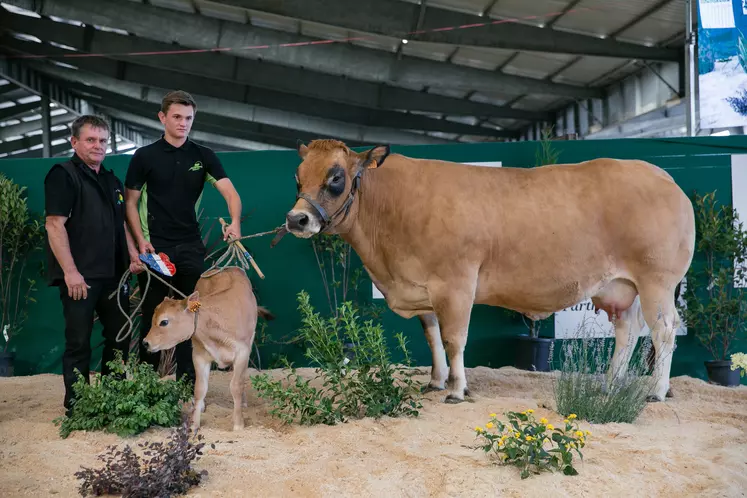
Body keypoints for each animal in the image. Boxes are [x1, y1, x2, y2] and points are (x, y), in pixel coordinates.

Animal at [142, 266, 274, 430]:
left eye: (164, 322)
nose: (145, 342)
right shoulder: (199, 355)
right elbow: (200, 389)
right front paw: (194, 425)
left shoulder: (242, 352)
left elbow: (236, 386)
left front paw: (238, 425)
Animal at [280, 138, 696, 402]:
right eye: (297, 178)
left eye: (336, 177)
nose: (297, 219)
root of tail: (661, 175)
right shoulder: (424, 289)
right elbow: (432, 338)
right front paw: (436, 381)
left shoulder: (455, 283)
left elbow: (454, 338)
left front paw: (457, 389)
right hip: (620, 287)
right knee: (627, 332)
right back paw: (610, 384)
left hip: (657, 281)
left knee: (663, 331)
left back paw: (656, 391)